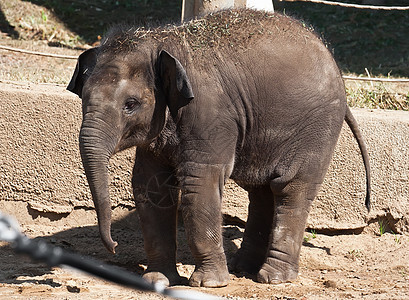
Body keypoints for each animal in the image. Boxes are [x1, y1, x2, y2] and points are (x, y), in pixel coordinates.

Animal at [67, 9, 370, 288]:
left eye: (130, 104)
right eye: (83, 97)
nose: (114, 247)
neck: (163, 42)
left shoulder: (210, 114)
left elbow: (199, 185)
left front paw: (208, 284)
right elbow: (150, 187)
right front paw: (157, 280)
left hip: (317, 129)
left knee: (290, 187)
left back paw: (273, 278)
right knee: (261, 192)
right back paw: (242, 268)